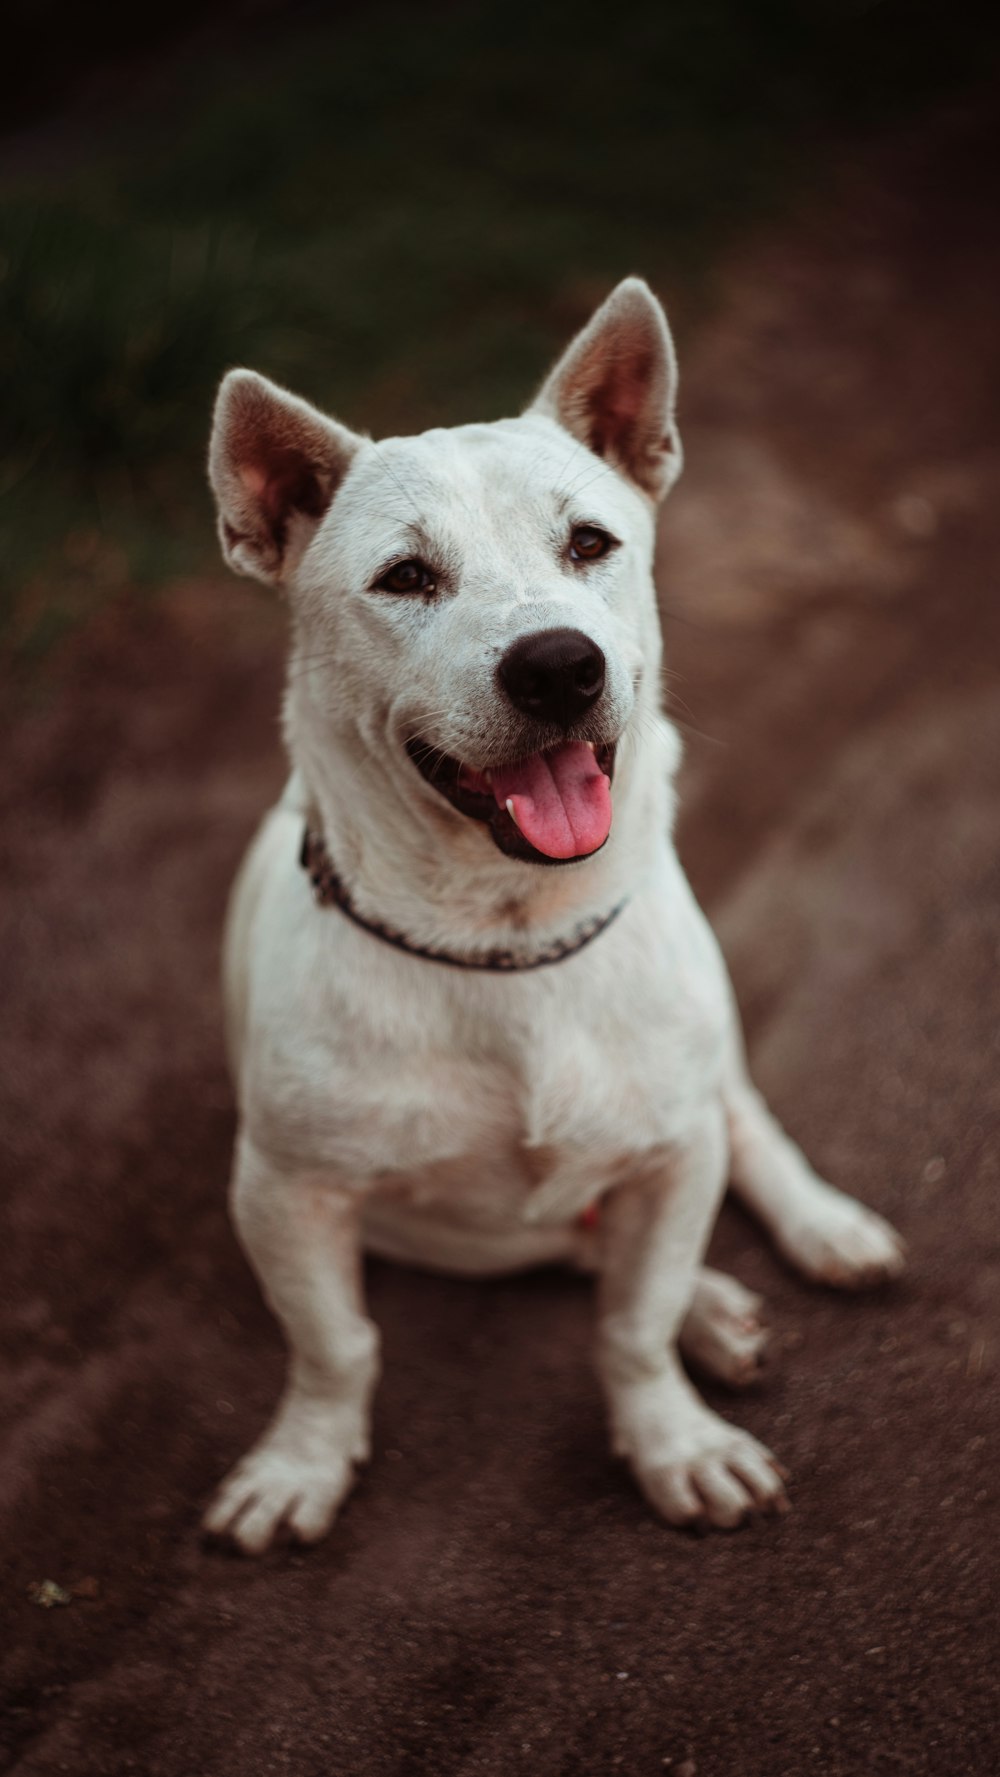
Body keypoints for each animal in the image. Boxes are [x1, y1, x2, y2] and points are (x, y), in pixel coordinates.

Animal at [203, 280, 909, 1556]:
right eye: (404, 578)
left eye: (589, 544)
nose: (556, 667)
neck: (506, 937)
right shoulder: (285, 1194)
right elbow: (336, 1347)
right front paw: (303, 1459)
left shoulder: (674, 1152)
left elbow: (630, 1327)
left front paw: (672, 1441)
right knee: (576, 1246)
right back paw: (716, 1310)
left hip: (701, 1075)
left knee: (741, 1132)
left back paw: (816, 1232)